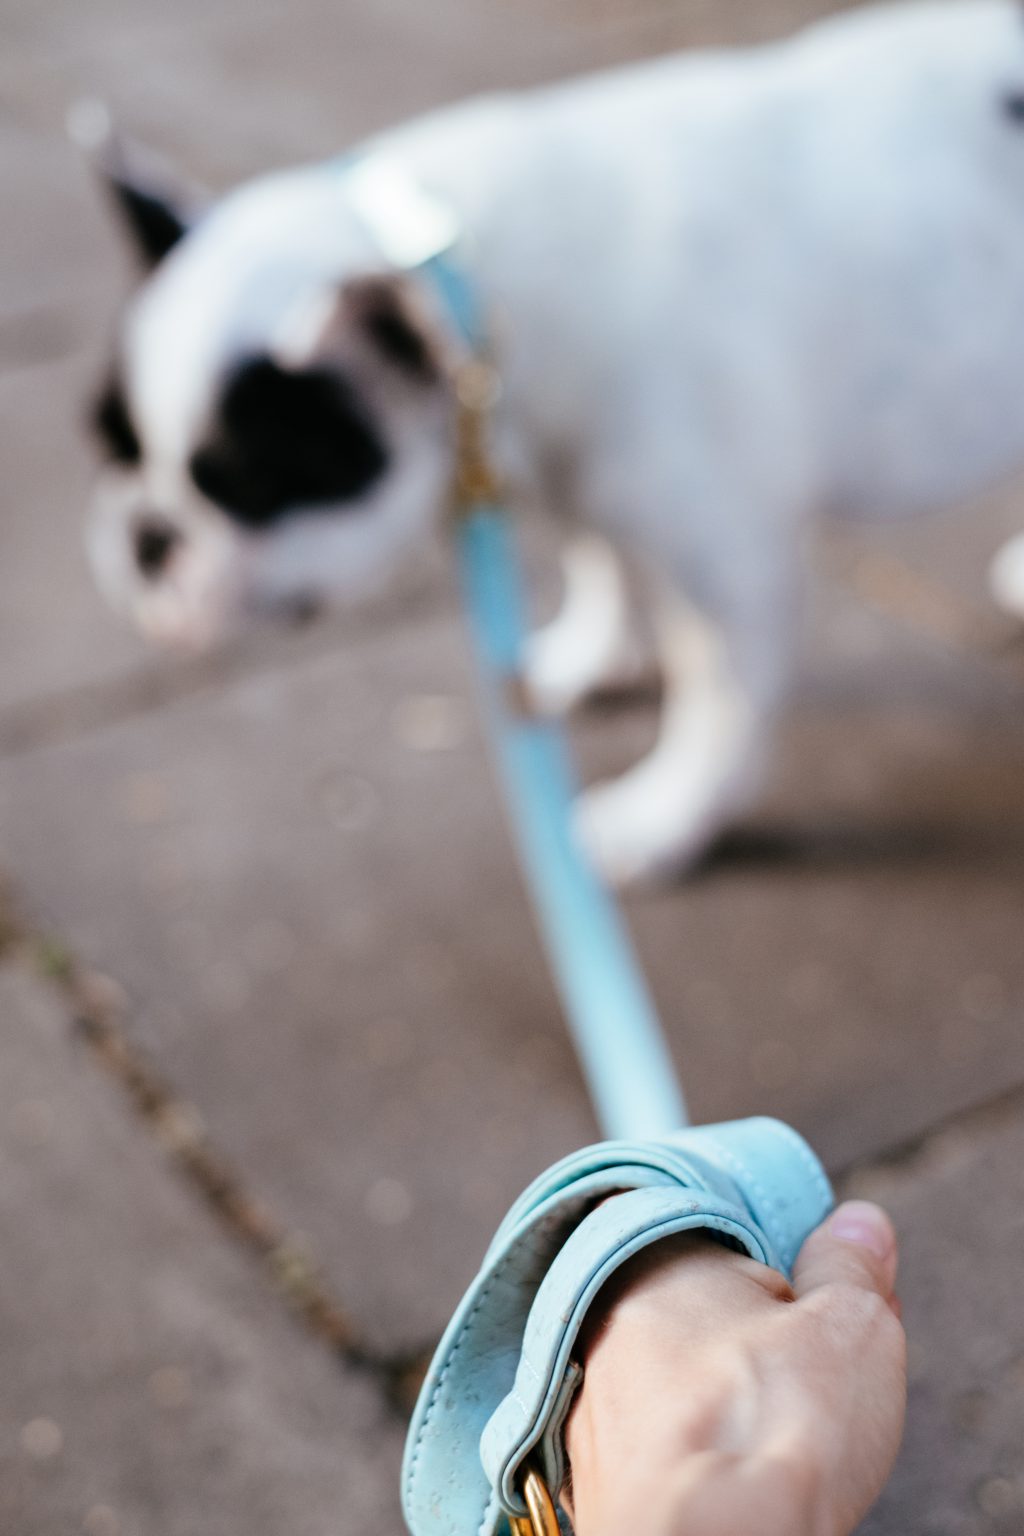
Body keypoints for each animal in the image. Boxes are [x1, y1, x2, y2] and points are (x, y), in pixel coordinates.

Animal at [82, 0, 1024, 884]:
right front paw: (591, 660)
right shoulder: (577, 479)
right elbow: (598, 558)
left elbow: (716, 701)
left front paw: (662, 821)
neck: (478, 273)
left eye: (246, 483)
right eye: (111, 444)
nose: (145, 536)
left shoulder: (728, 572)